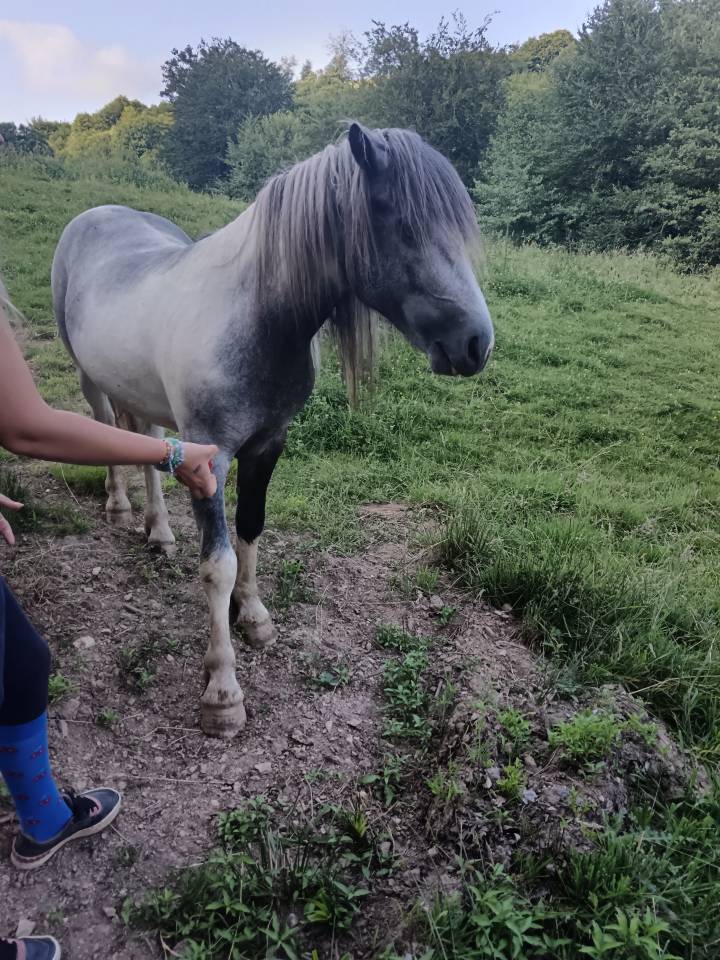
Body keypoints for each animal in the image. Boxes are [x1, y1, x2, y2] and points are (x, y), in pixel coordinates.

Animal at [51, 122, 495, 739]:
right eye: (404, 226)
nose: (477, 344)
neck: (255, 318)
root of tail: (95, 214)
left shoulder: (268, 444)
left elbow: (251, 530)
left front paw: (255, 617)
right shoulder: (210, 458)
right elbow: (217, 565)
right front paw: (222, 691)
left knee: (142, 436)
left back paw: (158, 531)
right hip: (88, 373)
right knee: (102, 425)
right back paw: (118, 507)